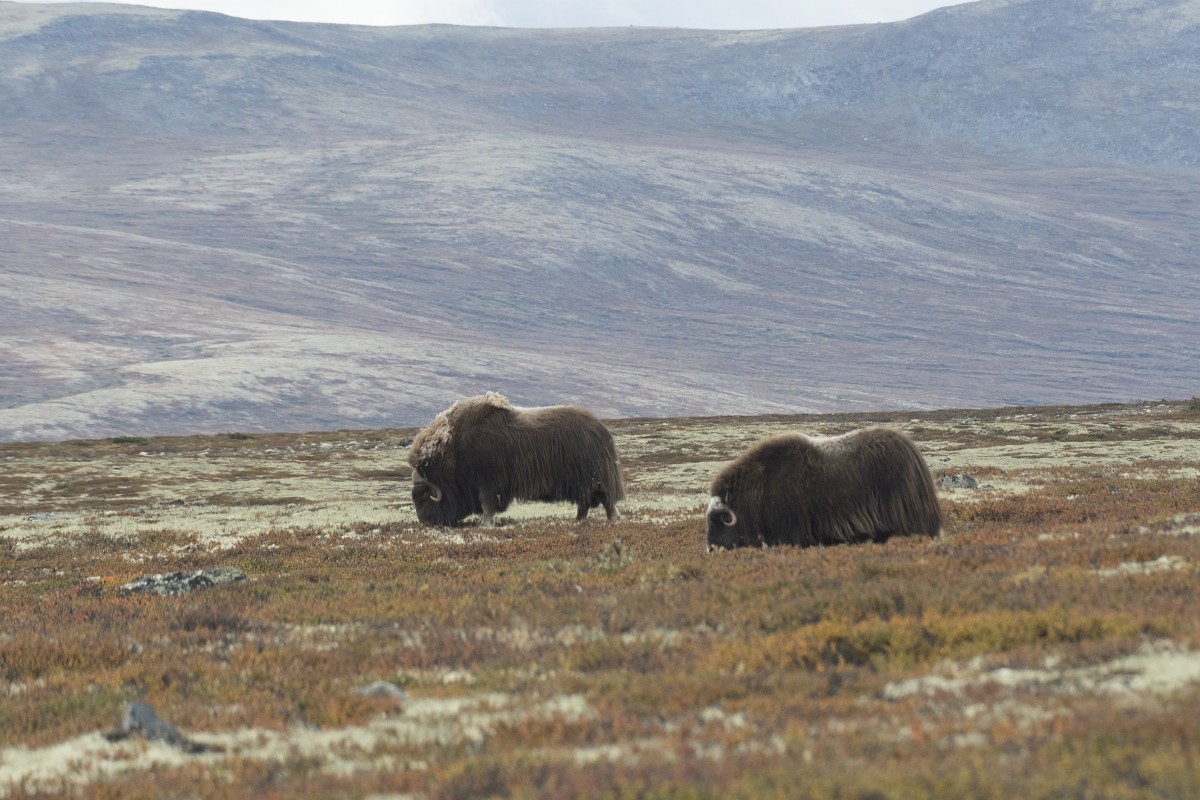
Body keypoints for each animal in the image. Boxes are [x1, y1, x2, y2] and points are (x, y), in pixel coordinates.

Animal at [408, 392, 624, 526]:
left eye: (424, 496)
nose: (425, 522)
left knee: (602, 499)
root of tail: (601, 430)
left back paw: (610, 518)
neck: (454, 452)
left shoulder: (487, 483)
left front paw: (485, 525)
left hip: (592, 478)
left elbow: (486, 504)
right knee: (587, 502)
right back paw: (580, 520)